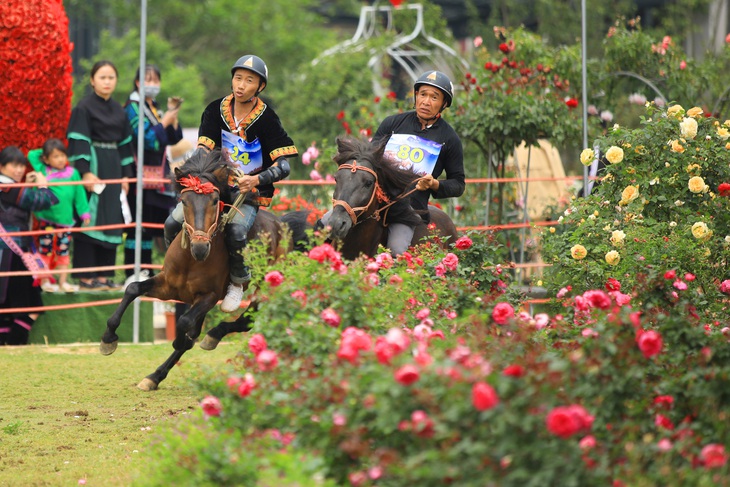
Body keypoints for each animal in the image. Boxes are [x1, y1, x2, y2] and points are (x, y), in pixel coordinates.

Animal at [101, 151, 288, 390]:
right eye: (184, 201)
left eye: (215, 200)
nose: (200, 247)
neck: (191, 261)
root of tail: (282, 225)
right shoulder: (167, 286)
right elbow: (133, 289)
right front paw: (108, 339)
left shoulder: (209, 296)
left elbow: (184, 324)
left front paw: (180, 339)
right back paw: (154, 377)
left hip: (268, 286)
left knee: (244, 320)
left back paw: (212, 336)